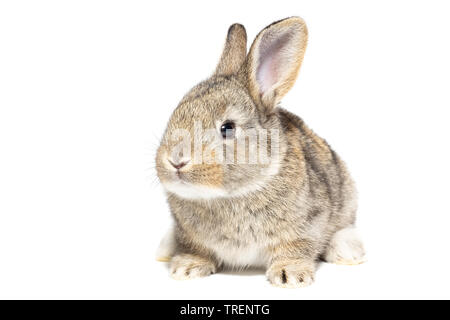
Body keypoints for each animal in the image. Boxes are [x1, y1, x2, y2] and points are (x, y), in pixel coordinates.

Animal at [155, 16, 366, 288]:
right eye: (175, 114)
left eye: (227, 128)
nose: (176, 161)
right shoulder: (189, 235)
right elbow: (195, 248)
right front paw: (187, 268)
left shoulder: (307, 225)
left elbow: (297, 247)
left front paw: (290, 275)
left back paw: (347, 252)